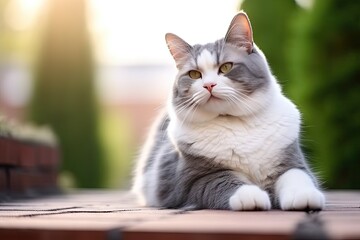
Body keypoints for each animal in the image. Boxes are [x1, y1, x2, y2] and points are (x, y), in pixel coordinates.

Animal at [132, 11, 326, 210]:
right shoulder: (194, 180)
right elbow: (224, 181)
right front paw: (251, 197)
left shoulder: (292, 162)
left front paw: (304, 196)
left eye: (226, 67)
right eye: (194, 74)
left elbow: (297, 176)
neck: (235, 122)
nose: (209, 85)